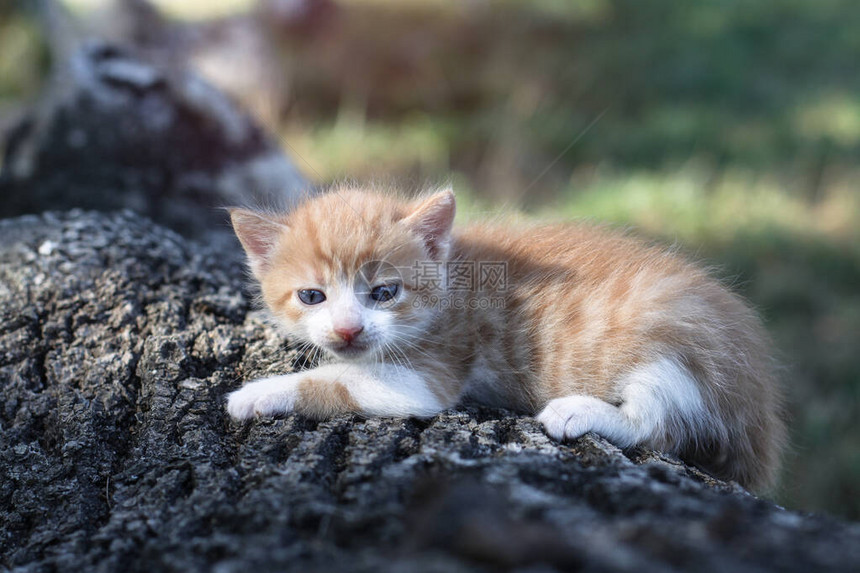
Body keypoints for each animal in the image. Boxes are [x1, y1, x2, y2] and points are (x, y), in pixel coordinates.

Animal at [227, 185, 788, 490]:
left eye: (384, 292)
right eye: (312, 296)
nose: (349, 328)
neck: (450, 279)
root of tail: (759, 400)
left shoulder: (430, 372)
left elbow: (337, 378)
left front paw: (255, 394)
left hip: (677, 343)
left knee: (657, 424)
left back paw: (578, 411)